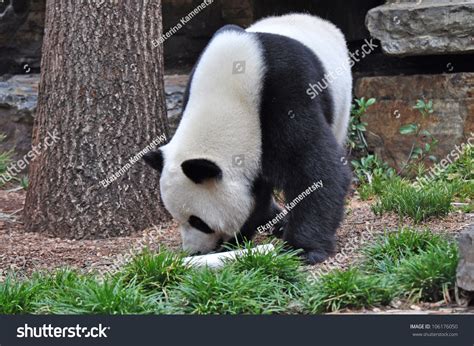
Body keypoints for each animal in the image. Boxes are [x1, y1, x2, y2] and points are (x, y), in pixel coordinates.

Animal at [144, 12, 352, 262]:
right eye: (178, 218)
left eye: (199, 222)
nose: (194, 251)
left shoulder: (287, 93)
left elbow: (315, 169)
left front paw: (303, 249)